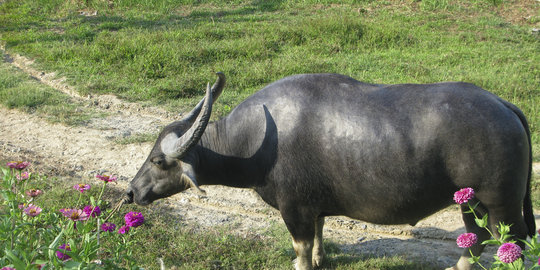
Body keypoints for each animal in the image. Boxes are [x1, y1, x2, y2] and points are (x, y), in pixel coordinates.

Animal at [125, 73, 532, 268]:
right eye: (150, 154)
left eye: (159, 161)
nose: (131, 191)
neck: (257, 140)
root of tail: (503, 105)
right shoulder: (312, 206)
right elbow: (320, 233)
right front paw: (322, 258)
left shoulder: (294, 209)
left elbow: (300, 247)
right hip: (470, 203)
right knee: (476, 239)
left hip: (498, 204)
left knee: (512, 242)